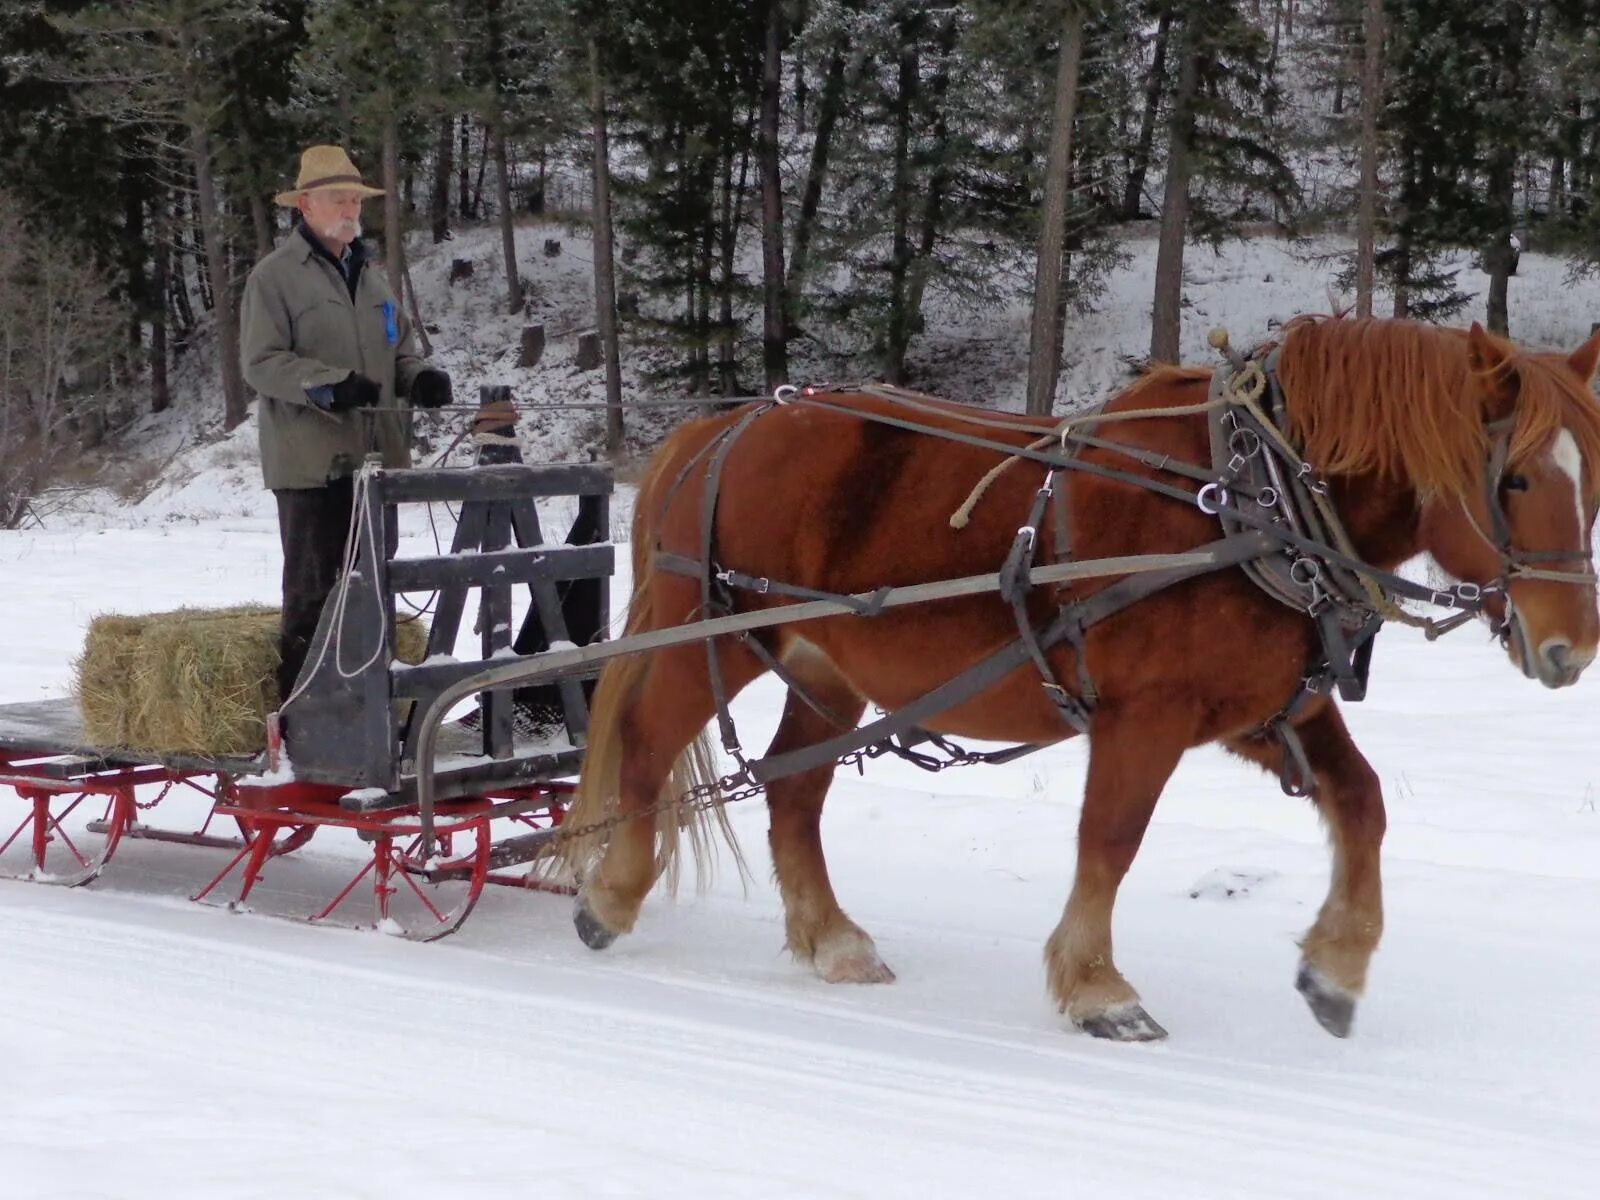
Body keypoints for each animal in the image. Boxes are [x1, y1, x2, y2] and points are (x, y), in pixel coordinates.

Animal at [560, 320, 1600, 1043]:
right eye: (1512, 480)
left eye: (1591, 478)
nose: (1572, 650)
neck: (1253, 503)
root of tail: (727, 422)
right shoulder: (1146, 717)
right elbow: (1111, 839)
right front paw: (1100, 988)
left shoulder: (1273, 711)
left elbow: (1363, 803)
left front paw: (1336, 971)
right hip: (722, 631)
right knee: (648, 747)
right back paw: (611, 897)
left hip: (825, 668)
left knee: (793, 794)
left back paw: (833, 939)